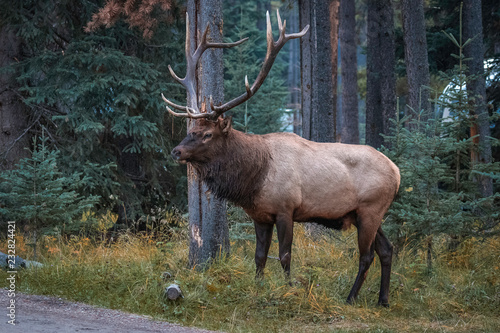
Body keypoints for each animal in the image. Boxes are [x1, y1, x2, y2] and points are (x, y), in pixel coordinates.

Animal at [162, 10, 400, 306]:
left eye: (206, 134)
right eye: (190, 130)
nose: (176, 151)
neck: (254, 177)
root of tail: (397, 173)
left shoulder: (287, 209)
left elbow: (285, 255)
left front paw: (289, 290)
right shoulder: (260, 215)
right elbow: (259, 256)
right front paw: (258, 286)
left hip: (371, 208)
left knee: (366, 255)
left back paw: (351, 297)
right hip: (363, 214)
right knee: (387, 249)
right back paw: (383, 300)